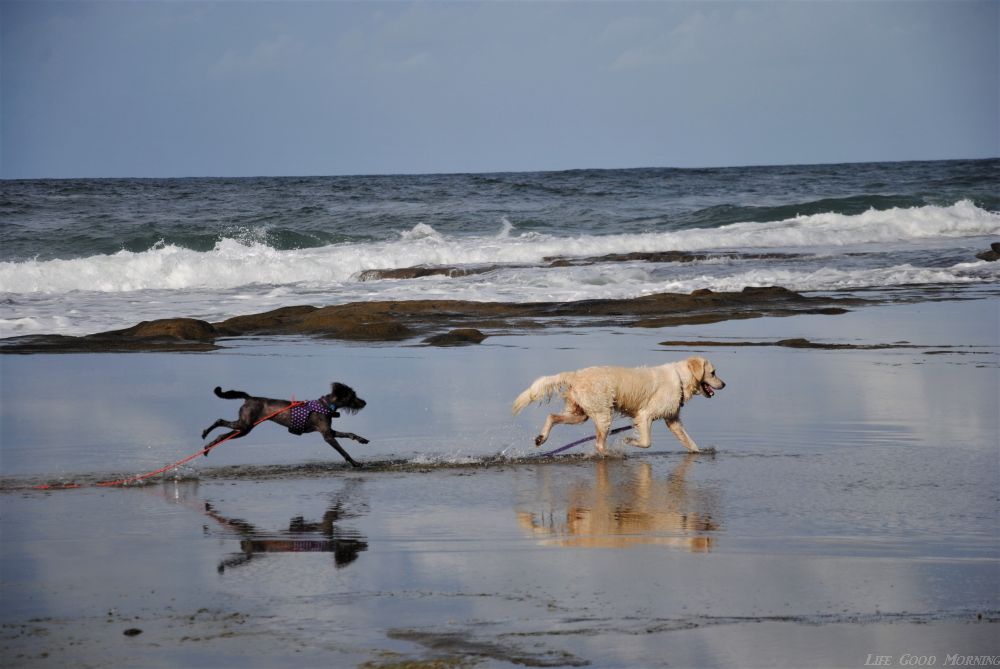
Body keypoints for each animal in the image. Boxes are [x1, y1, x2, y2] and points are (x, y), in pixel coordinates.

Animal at [201, 384, 370, 468]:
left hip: (243, 428)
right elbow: (343, 451)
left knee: (221, 435)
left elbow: (349, 434)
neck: (326, 405)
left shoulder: (329, 431)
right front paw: (355, 463)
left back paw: (207, 448)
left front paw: (362, 439)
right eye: (352, 396)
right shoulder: (327, 435)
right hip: (245, 426)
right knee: (220, 421)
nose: (365, 402)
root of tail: (248, 398)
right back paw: (204, 435)